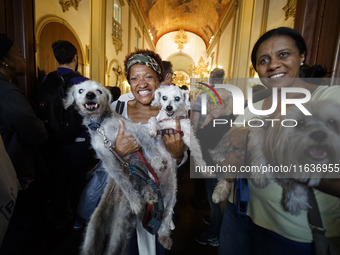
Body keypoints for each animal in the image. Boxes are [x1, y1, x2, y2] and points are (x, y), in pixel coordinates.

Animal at [63, 80, 170, 254]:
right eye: (80, 90)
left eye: (99, 90)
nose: (90, 95)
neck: (100, 125)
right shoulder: (107, 158)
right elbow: (122, 181)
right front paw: (134, 200)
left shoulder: (132, 130)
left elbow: (148, 144)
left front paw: (158, 160)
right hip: (94, 227)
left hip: (120, 229)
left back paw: (149, 194)